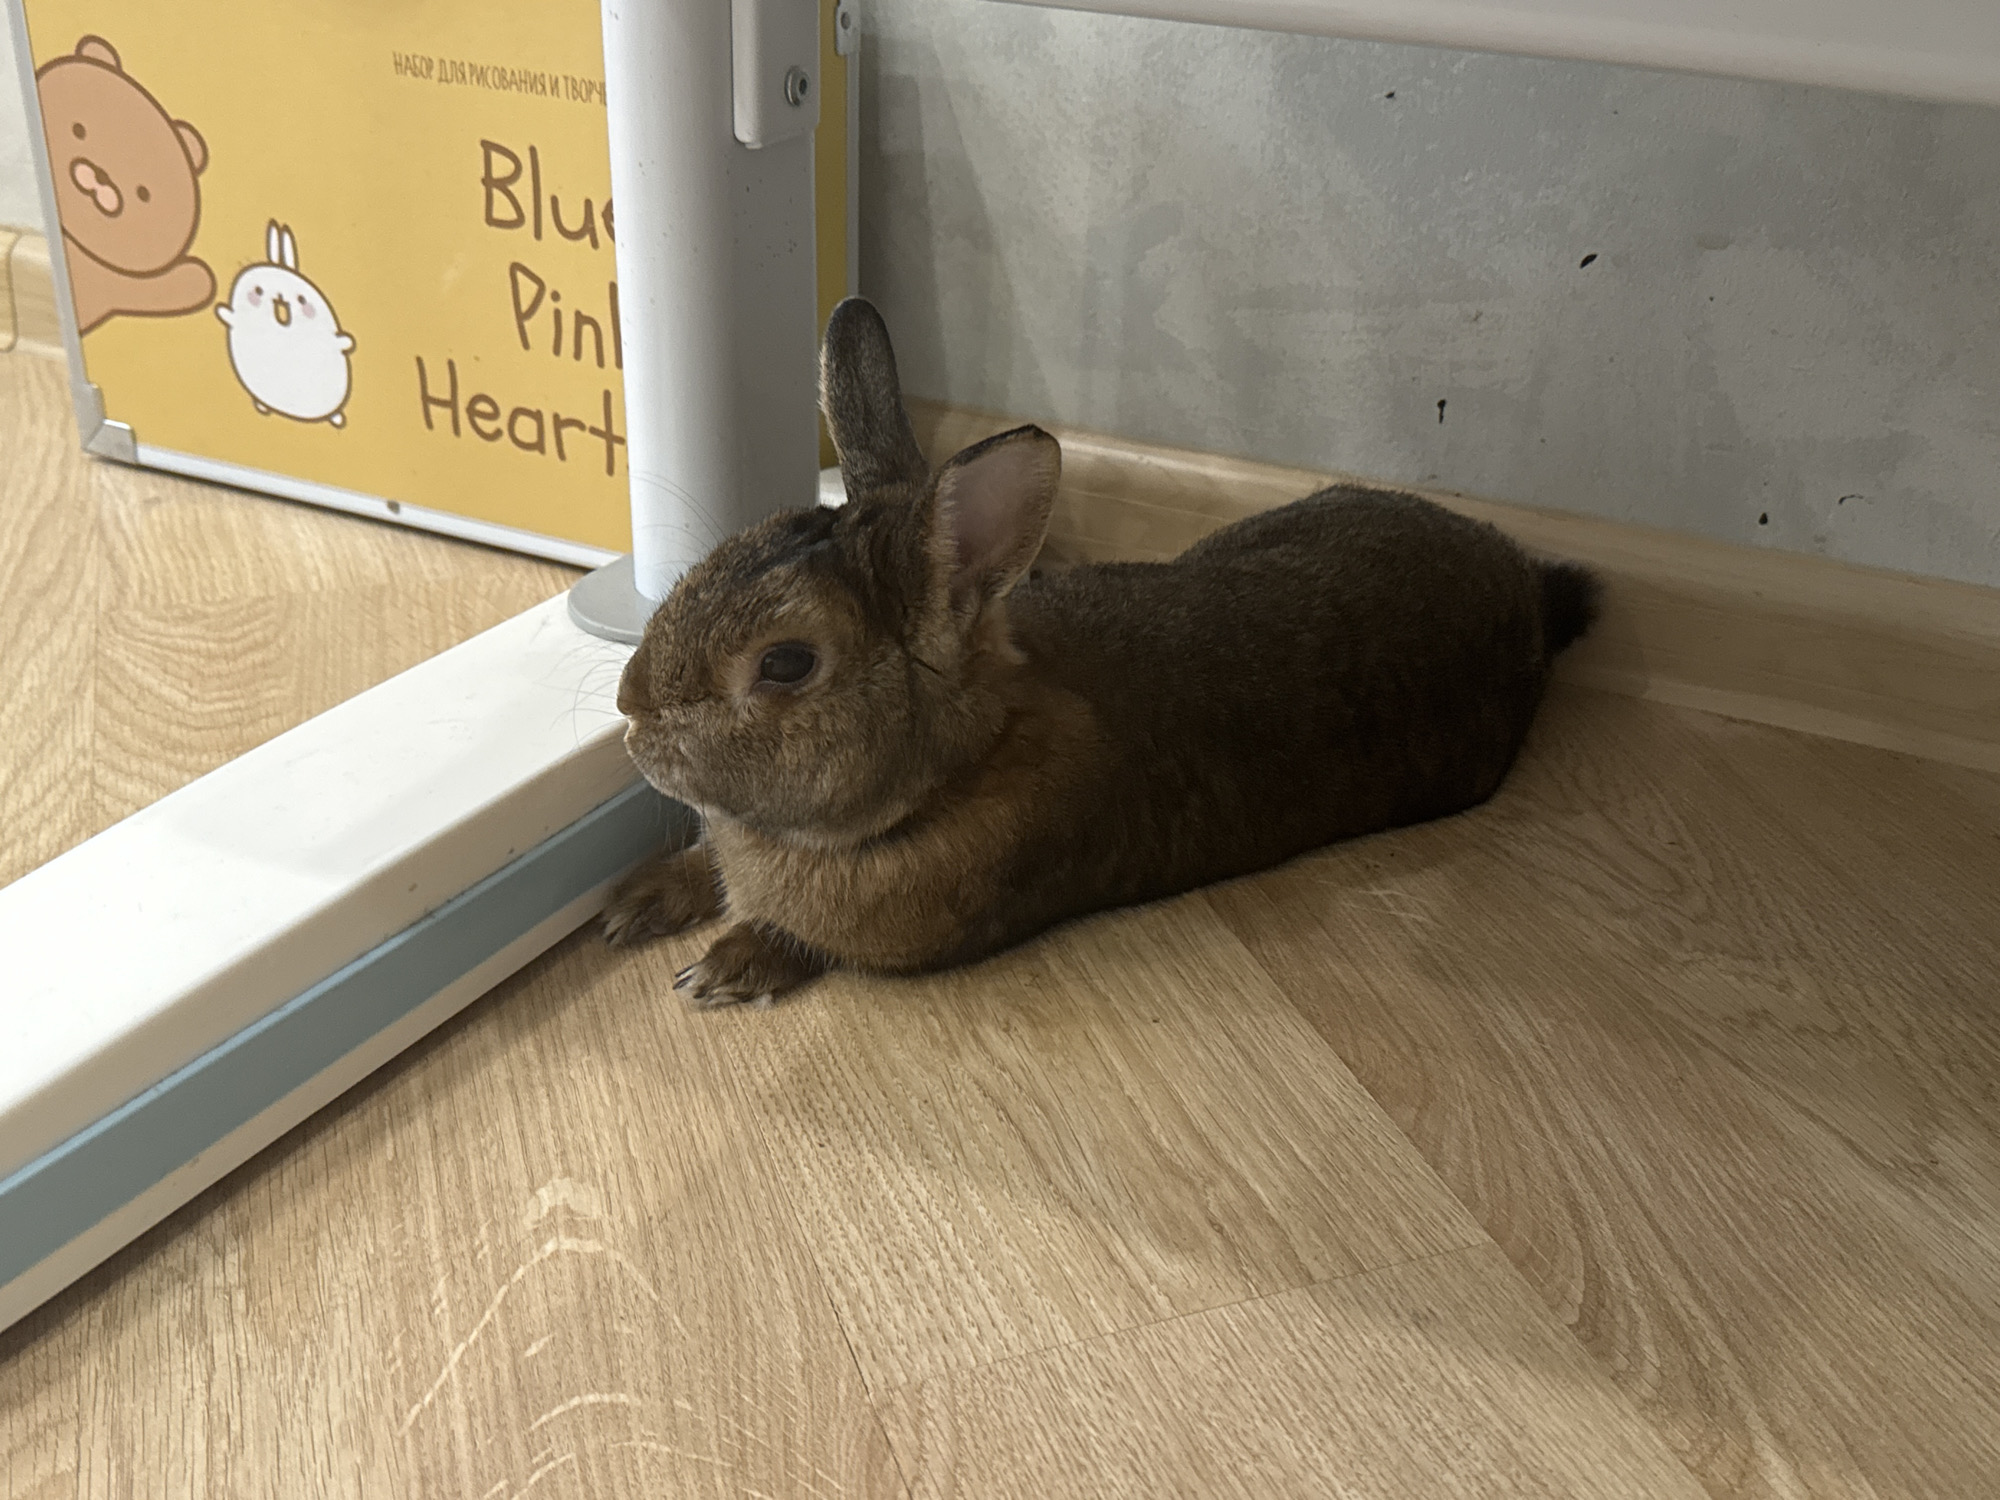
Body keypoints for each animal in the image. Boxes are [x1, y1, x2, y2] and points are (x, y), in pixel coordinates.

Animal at [603, 296, 1600, 1007]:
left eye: (785, 664)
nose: (628, 711)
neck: (954, 774)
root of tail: (1528, 589)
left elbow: (800, 940)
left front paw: (721, 969)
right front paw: (632, 905)